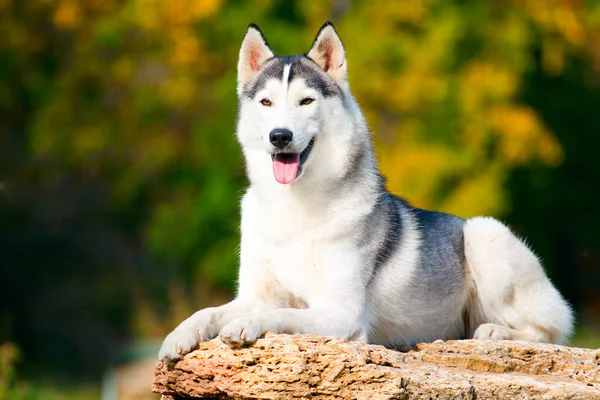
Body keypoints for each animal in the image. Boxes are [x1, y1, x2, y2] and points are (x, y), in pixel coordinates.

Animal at [158, 23, 572, 364]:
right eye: (266, 103)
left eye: (306, 101)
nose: (280, 136)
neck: (295, 207)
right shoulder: (254, 296)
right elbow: (209, 311)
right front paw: (178, 336)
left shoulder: (342, 313)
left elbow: (280, 313)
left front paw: (247, 325)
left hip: (485, 235)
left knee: (548, 334)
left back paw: (495, 332)